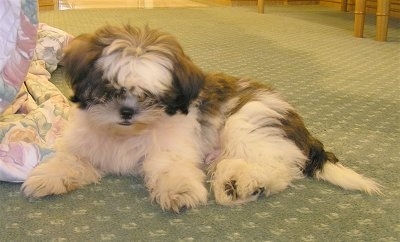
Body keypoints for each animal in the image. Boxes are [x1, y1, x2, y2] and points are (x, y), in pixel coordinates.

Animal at [21, 24, 382, 212]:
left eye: (151, 96)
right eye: (109, 88)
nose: (126, 112)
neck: (129, 133)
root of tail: (298, 122)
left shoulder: (172, 148)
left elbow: (171, 168)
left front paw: (179, 193)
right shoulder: (87, 143)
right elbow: (70, 160)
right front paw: (47, 178)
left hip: (246, 123)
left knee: (280, 166)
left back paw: (246, 183)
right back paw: (236, 182)